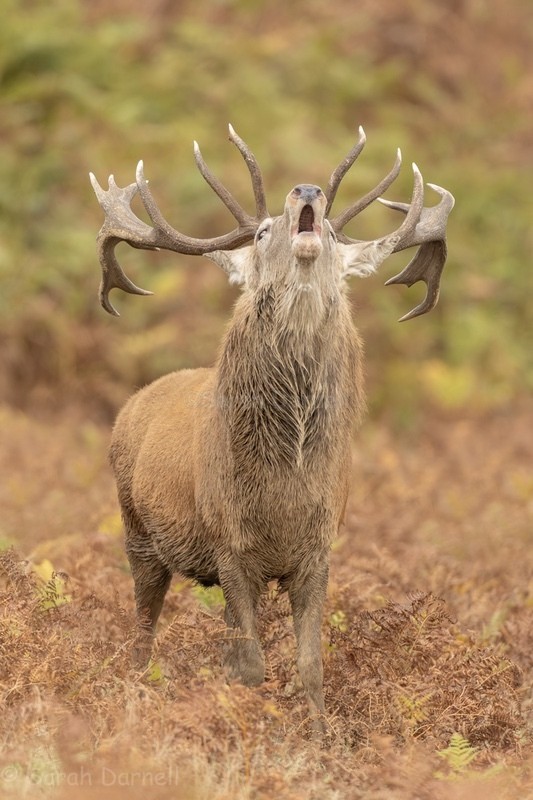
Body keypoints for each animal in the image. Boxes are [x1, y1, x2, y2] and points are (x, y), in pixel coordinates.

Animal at [90, 125, 454, 727]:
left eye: (329, 230)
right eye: (262, 232)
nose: (306, 191)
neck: (283, 485)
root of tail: (133, 403)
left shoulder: (318, 548)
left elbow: (309, 665)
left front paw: (320, 738)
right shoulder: (228, 544)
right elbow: (251, 666)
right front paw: (246, 723)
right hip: (136, 530)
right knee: (142, 629)